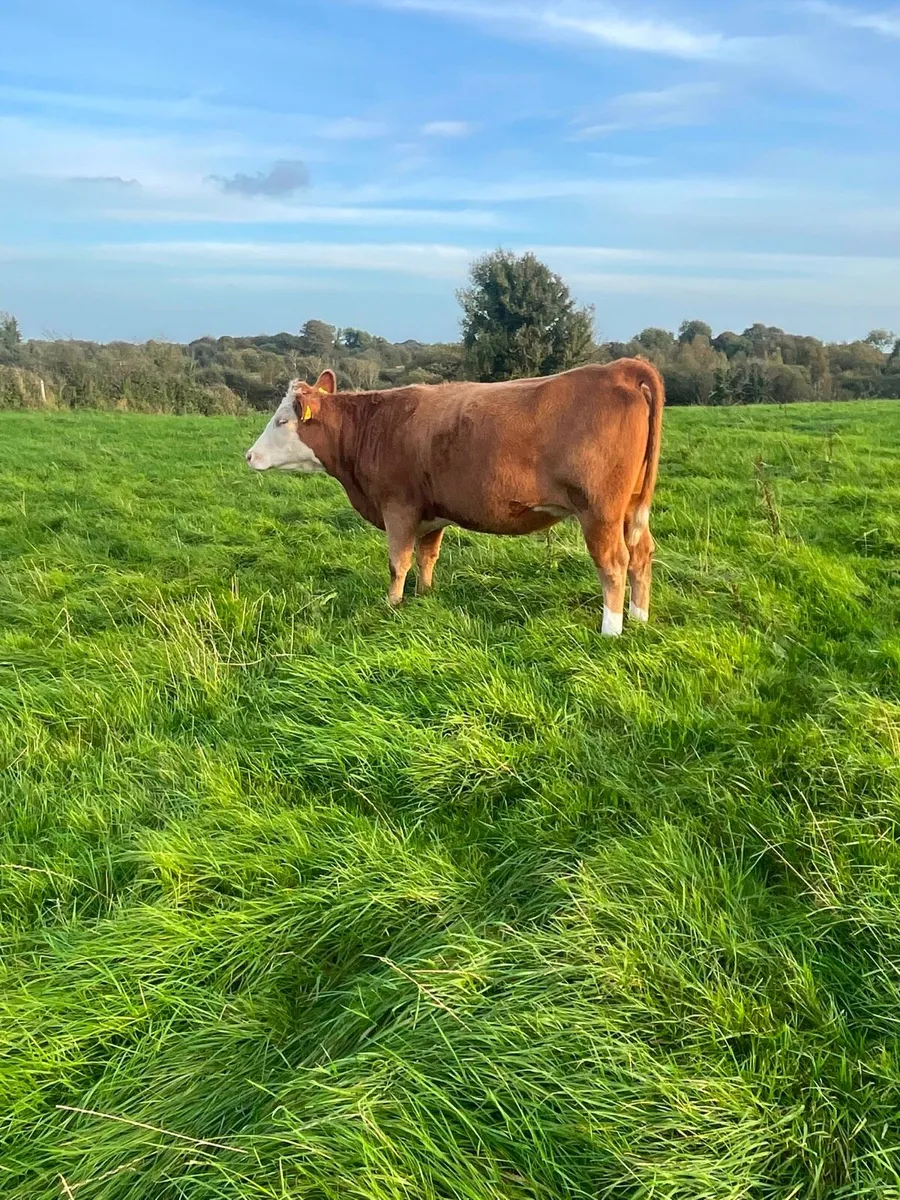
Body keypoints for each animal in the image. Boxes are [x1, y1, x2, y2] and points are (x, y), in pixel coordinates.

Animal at [245, 359, 664, 635]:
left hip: (599, 511)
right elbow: (427, 556)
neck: (375, 426)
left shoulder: (398, 507)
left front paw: (392, 605)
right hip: (631, 508)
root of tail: (618, 368)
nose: (249, 455)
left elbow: (398, 562)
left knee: (614, 562)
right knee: (641, 554)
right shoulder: (432, 513)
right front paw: (424, 596)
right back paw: (639, 617)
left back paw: (612, 630)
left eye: (282, 421)